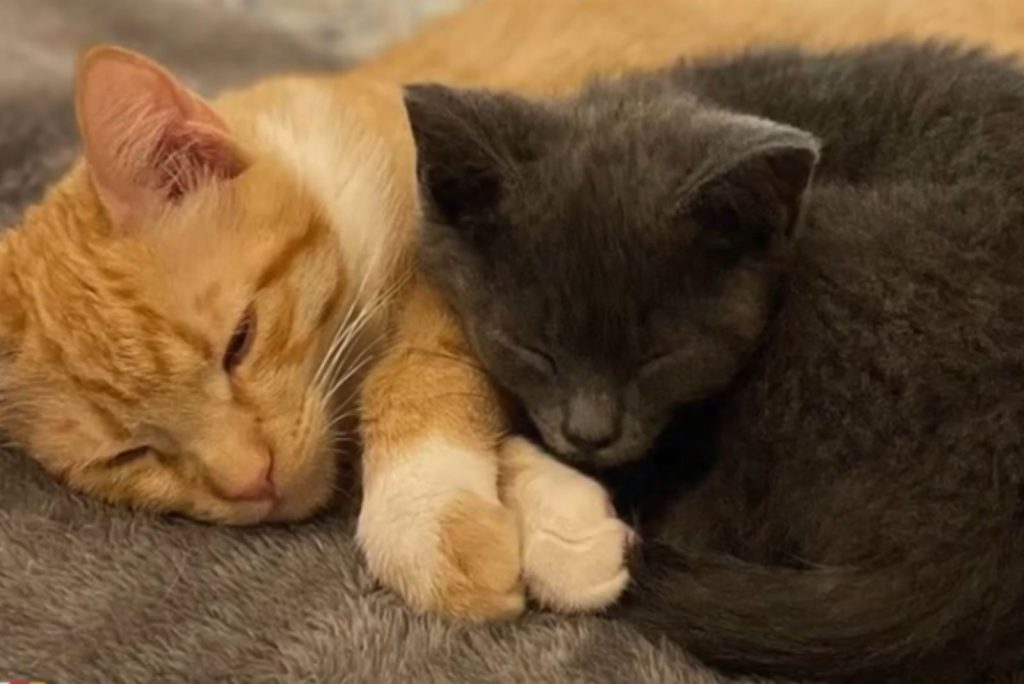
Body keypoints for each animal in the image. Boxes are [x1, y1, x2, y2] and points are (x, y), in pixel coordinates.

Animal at [0, 0, 1019, 618]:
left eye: (238, 342)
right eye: (131, 456)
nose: (251, 482)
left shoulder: (442, 246)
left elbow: (426, 366)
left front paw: (432, 520)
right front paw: (560, 518)